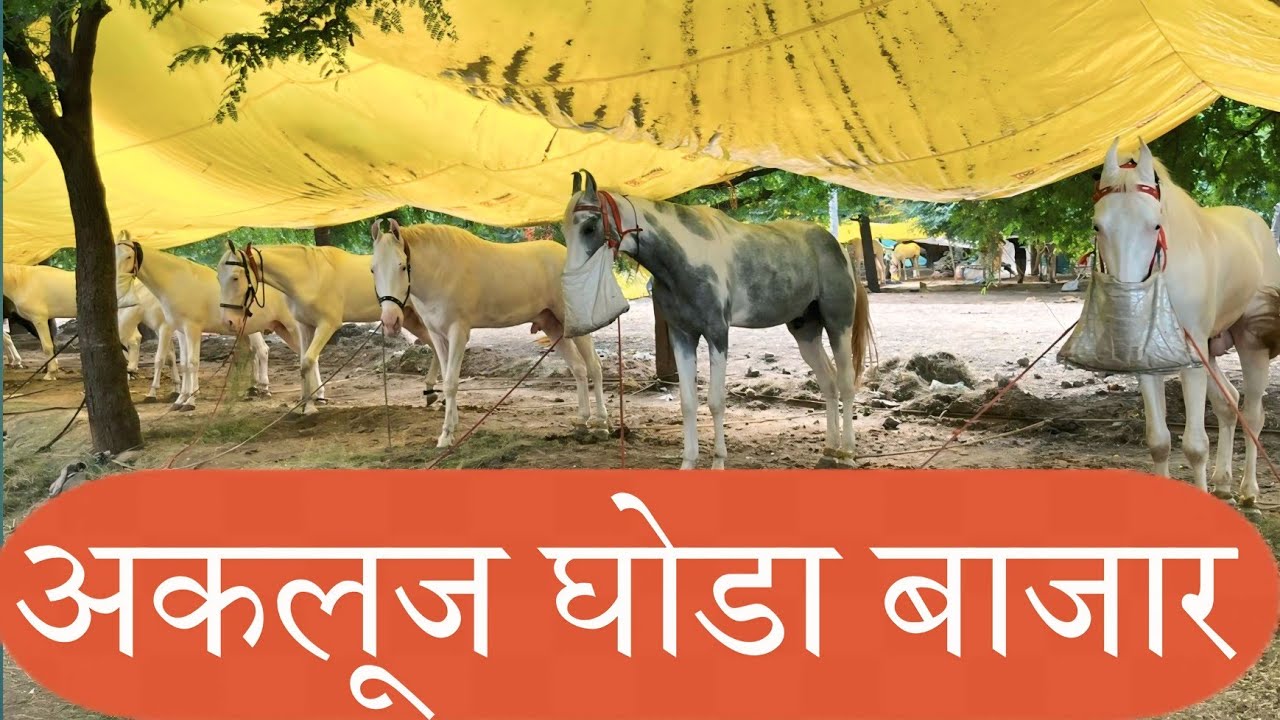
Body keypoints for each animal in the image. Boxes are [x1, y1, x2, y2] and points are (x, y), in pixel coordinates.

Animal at [114, 232, 303, 410]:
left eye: (128, 256)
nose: (118, 284)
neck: (177, 282)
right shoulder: (180, 331)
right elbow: (183, 363)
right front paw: (180, 399)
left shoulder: (189, 329)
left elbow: (189, 362)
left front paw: (189, 401)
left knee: (273, 351)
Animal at [216, 240, 443, 415]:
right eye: (219, 277)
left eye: (235, 277)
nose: (229, 321)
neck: (308, 276)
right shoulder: (304, 326)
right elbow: (303, 362)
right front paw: (306, 404)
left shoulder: (327, 324)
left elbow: (308, 361)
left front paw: (310, 407)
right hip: (411, 319)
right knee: (435, 347)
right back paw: (431, 392)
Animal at [370, 218, 609, 448]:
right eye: (373, 269)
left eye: (402, 266)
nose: (390, 321)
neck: (441, 272)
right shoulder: (437, 335)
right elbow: (446, 378)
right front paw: (452, 426)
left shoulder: (458, 332)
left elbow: (450, 383)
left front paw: (446, 436)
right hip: (553, 325)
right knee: (578, 368)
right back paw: (582, 420)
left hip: (574, 321)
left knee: (594, 366)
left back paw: (602, 423)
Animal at [560, 170, 875, 469]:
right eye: (565, 228)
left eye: (589, 227)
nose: (569, 281)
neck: (685, 257)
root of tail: (839, 249)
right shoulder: (682, 335)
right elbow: (688, 402)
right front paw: (688, 462)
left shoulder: (716, 333)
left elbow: (715, 402)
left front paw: (718, 462)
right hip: (805, 331)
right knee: (829, 383)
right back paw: (829, 452)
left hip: (838, 325)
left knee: (846, 383)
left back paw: (847, 453)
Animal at [1090, 138, 1280, 505]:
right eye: (1097, 226)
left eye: (1155, 225)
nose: (1127, 303)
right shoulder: (1150, 360)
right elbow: (1159, 441)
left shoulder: (1194, 358)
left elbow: (1194, 446)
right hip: (1210, 347)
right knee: (1228, 404)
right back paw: (1223, 482)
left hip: (1251, 340)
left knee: (1252, 414)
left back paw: (1249, 490)